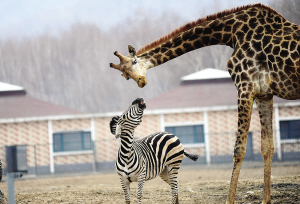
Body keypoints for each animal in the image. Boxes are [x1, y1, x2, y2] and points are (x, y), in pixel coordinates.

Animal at [110, 3, 300, 204]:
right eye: (125, 75)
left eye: (134, 61)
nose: (141, 82)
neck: (230, 33)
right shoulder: (264, 94)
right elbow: (267, 147)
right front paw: (266, 200)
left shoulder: (245, 87)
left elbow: (239, 150)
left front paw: (229, 200)